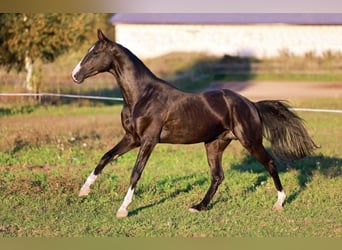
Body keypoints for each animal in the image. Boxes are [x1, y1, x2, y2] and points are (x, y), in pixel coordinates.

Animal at [71, 28, 316, 217]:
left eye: (95, 53)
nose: (75, 76)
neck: (143, 95)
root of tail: (252, 105)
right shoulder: (132, 138)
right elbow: (105, 157)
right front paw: (84, 191)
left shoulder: (148, 141)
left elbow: (136, 172)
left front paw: (123, 210)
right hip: (214, 144)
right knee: (218, 176)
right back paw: (199, 207)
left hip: (250, 142)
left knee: (271, 164)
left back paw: (279, 202)